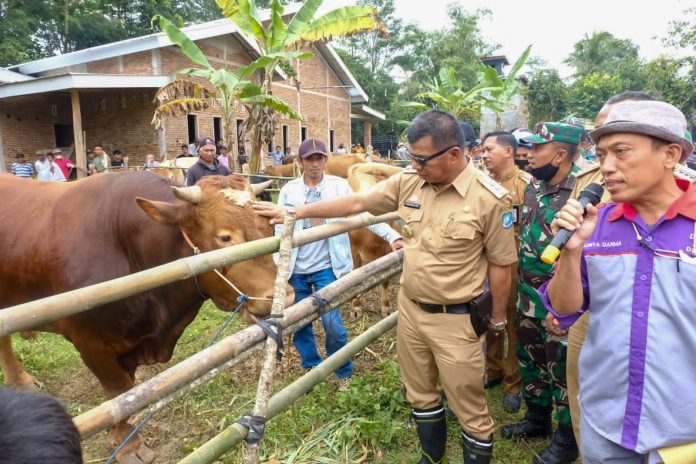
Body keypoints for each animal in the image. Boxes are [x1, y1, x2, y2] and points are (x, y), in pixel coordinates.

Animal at [0, 171, 290, 464]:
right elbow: (118, 392)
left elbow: (128, 393)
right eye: (225, 237)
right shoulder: (91, 344)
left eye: (268, 230)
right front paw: (128, 445)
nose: (284, 296)